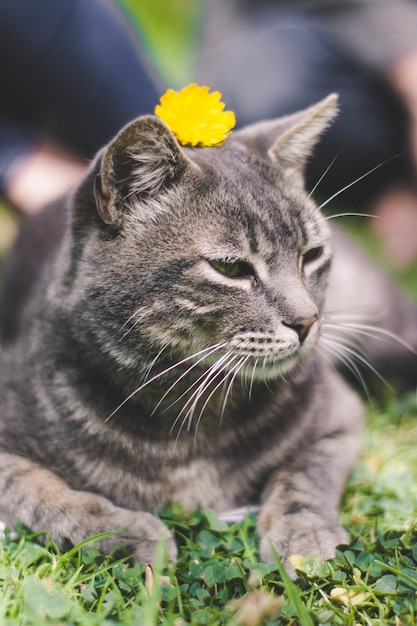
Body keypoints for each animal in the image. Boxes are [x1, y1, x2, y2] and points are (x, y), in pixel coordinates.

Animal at [0, 94, 416, 572]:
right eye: (230, 269)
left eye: (311, 255)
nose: (308, 320)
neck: (188, 420)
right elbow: (41, 491)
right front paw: (123, 532)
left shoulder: (339, 419)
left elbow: (304, 475)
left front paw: (303, 534)